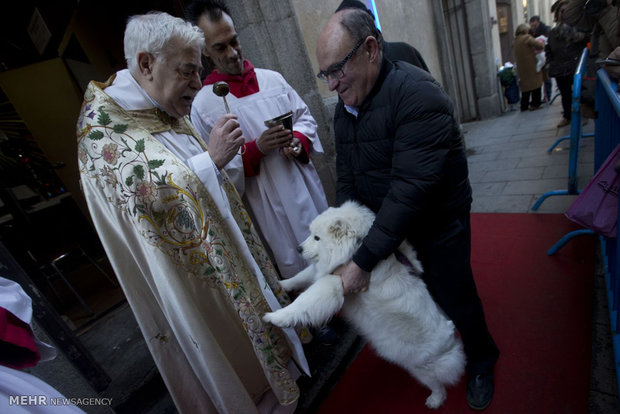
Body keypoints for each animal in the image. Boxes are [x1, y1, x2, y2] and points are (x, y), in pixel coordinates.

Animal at [262, 202, 464, 410]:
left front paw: (275, 317)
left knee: (437, 383)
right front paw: (281, 284)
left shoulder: (335, 283)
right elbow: (301, 276)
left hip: (421, 368)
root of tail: (450, 337)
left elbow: (304, 302)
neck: (353, 251)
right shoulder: (326, 272)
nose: (298, 248)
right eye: (310, 234)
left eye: (317, 237)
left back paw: (435, 400)